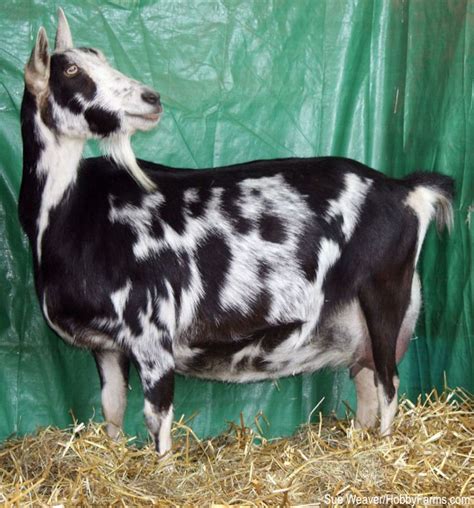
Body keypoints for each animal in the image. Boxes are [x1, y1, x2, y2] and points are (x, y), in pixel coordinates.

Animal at [19, 9, 456, 454]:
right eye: (71, 69)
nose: (151, 99)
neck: (70, 213)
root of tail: (406, 191)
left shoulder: (152, 334)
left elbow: (157, 418)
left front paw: (163, 466)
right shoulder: (108, 347)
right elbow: (112, 410)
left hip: (385, 294)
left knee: (389, 384)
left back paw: (382, 448)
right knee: (368, 383)